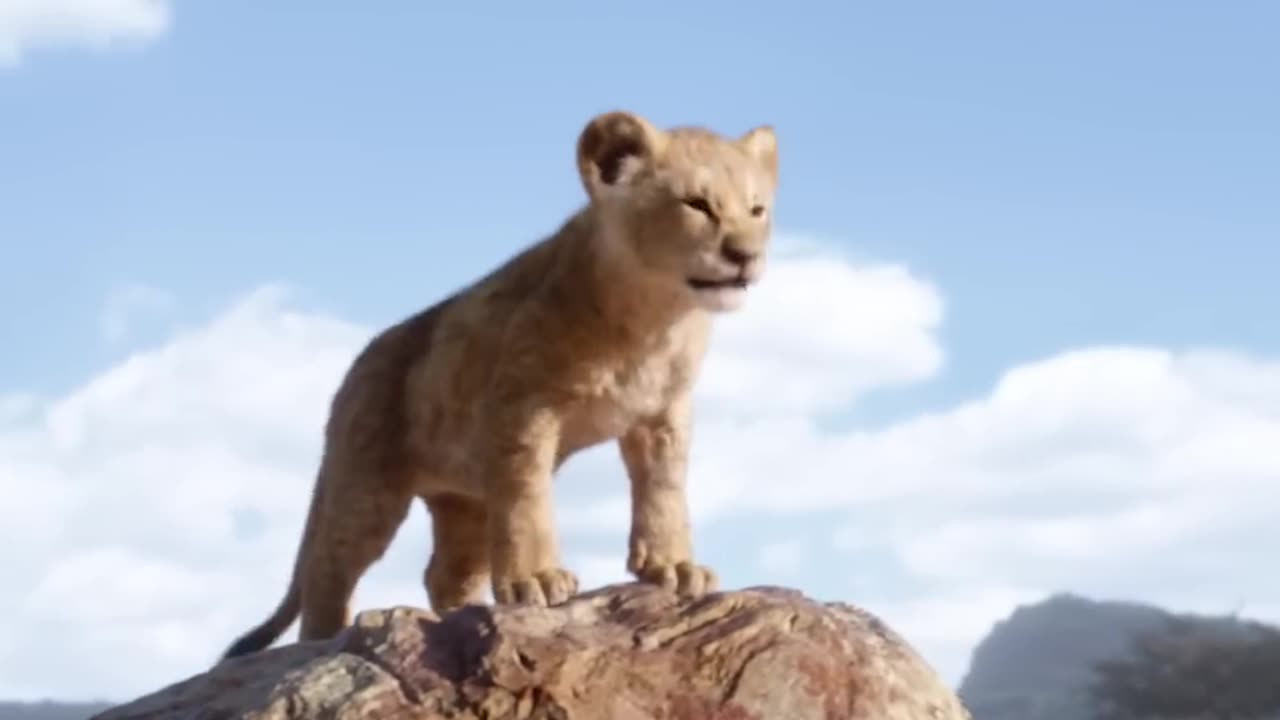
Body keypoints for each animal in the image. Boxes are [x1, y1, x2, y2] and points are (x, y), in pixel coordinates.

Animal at [220, 110, 779, 659]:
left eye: (757, 210)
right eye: (697, 204)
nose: (746, 255)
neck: (656, 319)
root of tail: (357, 365)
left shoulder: (664, 413)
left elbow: (664, 490)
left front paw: (674, 567)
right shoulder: (521, 406)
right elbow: (527, 494)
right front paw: (537, 579)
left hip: (463, 498)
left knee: (444, 572)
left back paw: (455, 617)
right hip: (367, 483)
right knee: (329, 567)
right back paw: (323, 639)